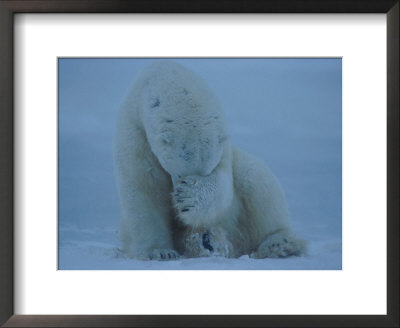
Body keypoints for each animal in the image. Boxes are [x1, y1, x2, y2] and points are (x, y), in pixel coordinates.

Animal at [114, 60, 308, 262]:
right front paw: (160, 252)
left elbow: (223, 185)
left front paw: (189, 197)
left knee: (257, 179)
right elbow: (144, 192)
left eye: (207, 171)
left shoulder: (223, 146)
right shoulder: (135, 135)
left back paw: (276, 243)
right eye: (179, 171)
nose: (178, 202)